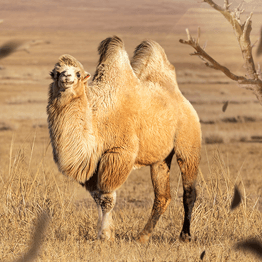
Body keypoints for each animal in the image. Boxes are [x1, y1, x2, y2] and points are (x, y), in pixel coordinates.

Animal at [47, 35, 202, 243]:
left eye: (78, 73)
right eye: (55, 72)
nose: (66, 77)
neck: (97, 117)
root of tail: (183, 101)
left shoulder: (118, 153)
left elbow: (106, 198)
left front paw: (105, 235)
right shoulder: (93, 165)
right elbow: (97, 197)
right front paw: (105, 232)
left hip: (188, 140)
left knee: (189, 190)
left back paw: (185, 235)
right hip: (160, 158)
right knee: (162, 196)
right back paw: (143, 236)